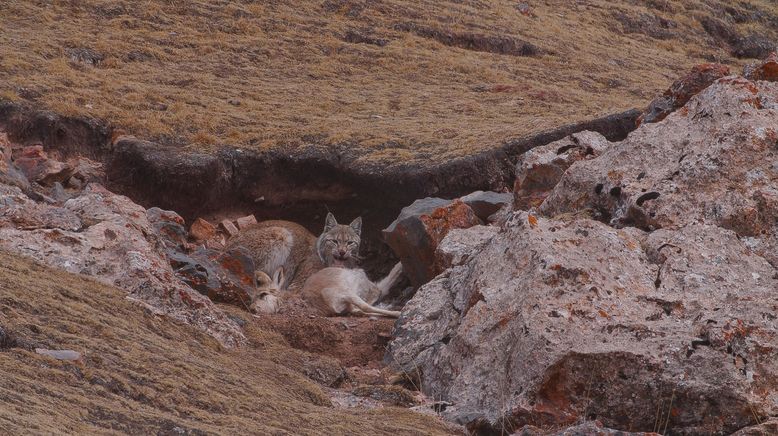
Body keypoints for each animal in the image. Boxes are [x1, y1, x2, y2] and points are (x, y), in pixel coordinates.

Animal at [226, 213, 362, 292]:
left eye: (350, 243)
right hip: (282, 232)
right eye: (334, 241)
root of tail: (227, 243)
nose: (342, 252)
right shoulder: (299, 284)